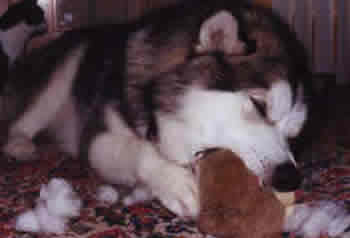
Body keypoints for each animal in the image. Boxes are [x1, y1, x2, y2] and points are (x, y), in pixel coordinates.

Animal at [2, 0, 308, 219]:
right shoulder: (98, 139)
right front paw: (175, 182)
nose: (290, 178)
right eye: (259, 105)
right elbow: (138, 150)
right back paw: (20, 145)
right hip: (63, 71)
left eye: (293, 134)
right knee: (22, 120)